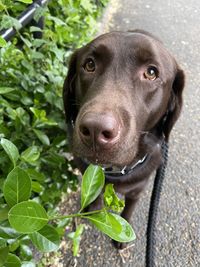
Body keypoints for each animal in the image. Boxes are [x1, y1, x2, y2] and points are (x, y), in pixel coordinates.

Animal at [63, 30, 184, 250]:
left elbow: (128, 209)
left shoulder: (137, 190)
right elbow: (96, 194)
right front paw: (94, 209)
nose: (95, 129)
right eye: (90, 65)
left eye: (151, 72)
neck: (115, 171)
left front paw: (122, 237)